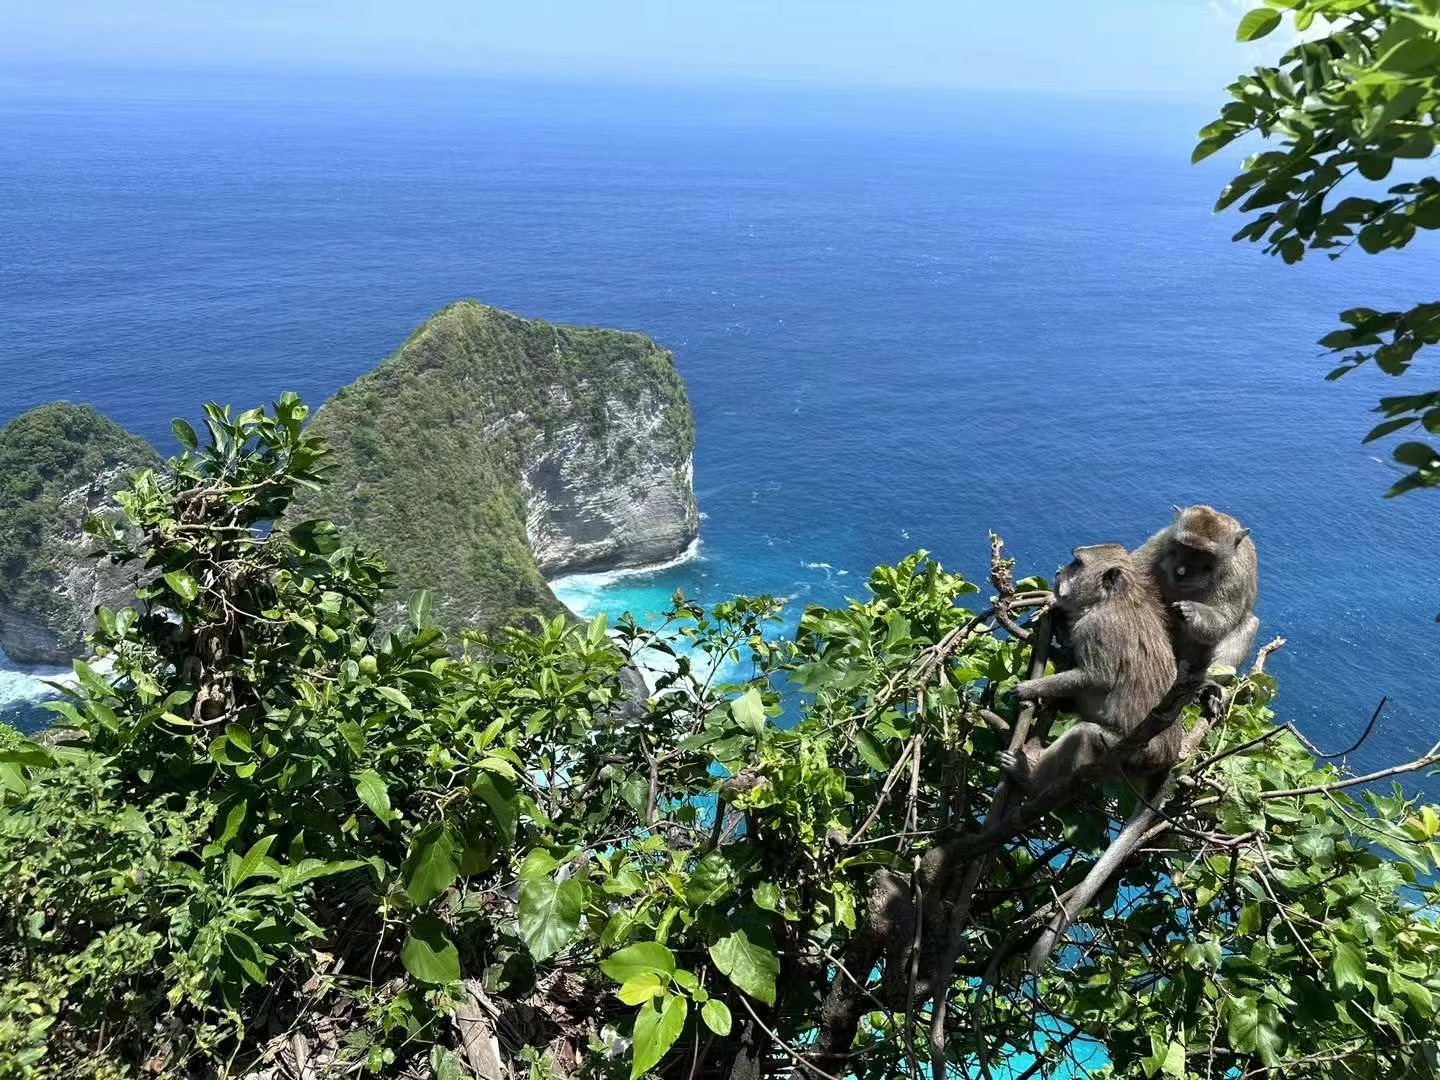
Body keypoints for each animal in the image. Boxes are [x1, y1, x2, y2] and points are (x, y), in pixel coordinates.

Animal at [996, 544, 1175, 789]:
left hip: (1130, 755)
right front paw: (1054, 607)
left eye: (1077, 563)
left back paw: (1029, 778)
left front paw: (1031, 688)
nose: (1059, 572)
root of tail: (1167, 759)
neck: (1109, 599)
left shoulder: (1097, 628)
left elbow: (1097, 678)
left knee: (1084, 735)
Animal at [1134, 506, 1261, 676]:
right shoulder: (1160, 543)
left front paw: (1192, 611)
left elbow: (1223, 621)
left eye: (1203, 554)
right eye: (1184, 547)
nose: (1181, 572)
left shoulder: (1234, 576)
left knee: (1249, 623)